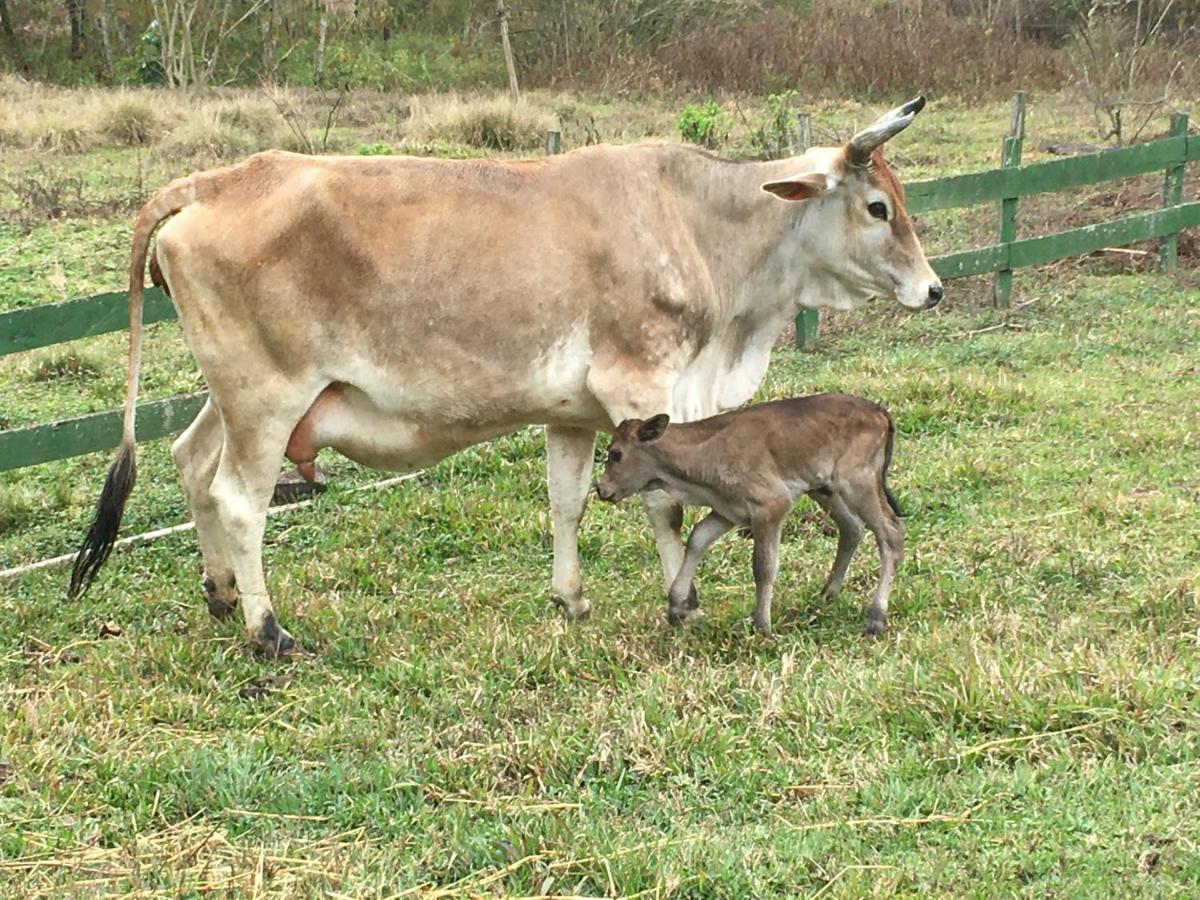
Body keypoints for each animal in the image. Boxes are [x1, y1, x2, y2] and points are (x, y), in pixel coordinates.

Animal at [595, 396, 902, 643]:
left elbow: (764, 566)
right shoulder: (727, 511)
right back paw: (827, 594)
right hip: (825, 488)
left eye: (616, 454)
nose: (601, 488)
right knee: (852, 528)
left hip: (857, 484)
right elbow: (698, 538)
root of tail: (878, 411)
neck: (708, 449)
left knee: (890, 532)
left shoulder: (770, 507)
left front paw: (761, 626)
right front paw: (677, 606)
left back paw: (875, 618)